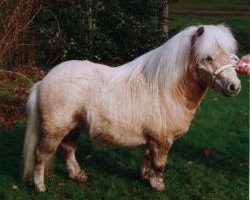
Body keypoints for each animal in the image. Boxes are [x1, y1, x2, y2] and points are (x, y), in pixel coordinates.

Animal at [22, 24, 241, 191]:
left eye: (230, 56)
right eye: (208, 57)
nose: (235, 86)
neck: (165, 89)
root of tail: (43, 81)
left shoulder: (153, 139)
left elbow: (148, 157)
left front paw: (144, 177)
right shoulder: (163, 140)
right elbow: (159, 164)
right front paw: (158, 185)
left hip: (73, 126)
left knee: (68, 149)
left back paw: (77, 175)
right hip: (55, 129)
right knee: (42, 154)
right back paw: (40, 186)